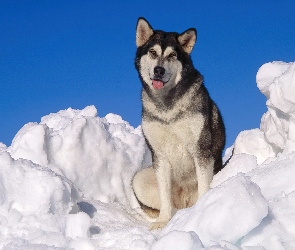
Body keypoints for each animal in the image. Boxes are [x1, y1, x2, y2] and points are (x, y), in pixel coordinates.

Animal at [133, 16, 225, 229]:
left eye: (172, 55)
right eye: (152, 52)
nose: (159, 70)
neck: (167, 107)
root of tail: (185, 202)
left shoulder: (201, 149)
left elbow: (204, 185)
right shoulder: (159, 155)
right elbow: (164, 195)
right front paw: (163, 222)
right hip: (139, 179)